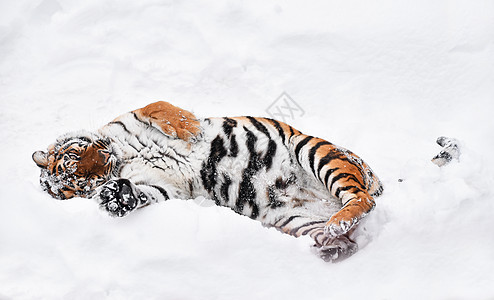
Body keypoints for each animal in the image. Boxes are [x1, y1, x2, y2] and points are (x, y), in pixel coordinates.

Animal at [32, 101, 384, 262]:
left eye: (75, 156)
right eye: (83, 183)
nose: (105, 160)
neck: (123, 159)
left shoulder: (132, 118)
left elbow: (157, 106)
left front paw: (188, 128)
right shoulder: (161, 187)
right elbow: (141, 194)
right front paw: (116, 197)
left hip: (314, 150)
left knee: (362, 197)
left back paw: (339, 223)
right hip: (295, 220)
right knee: (350, 228)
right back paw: (333, 244)